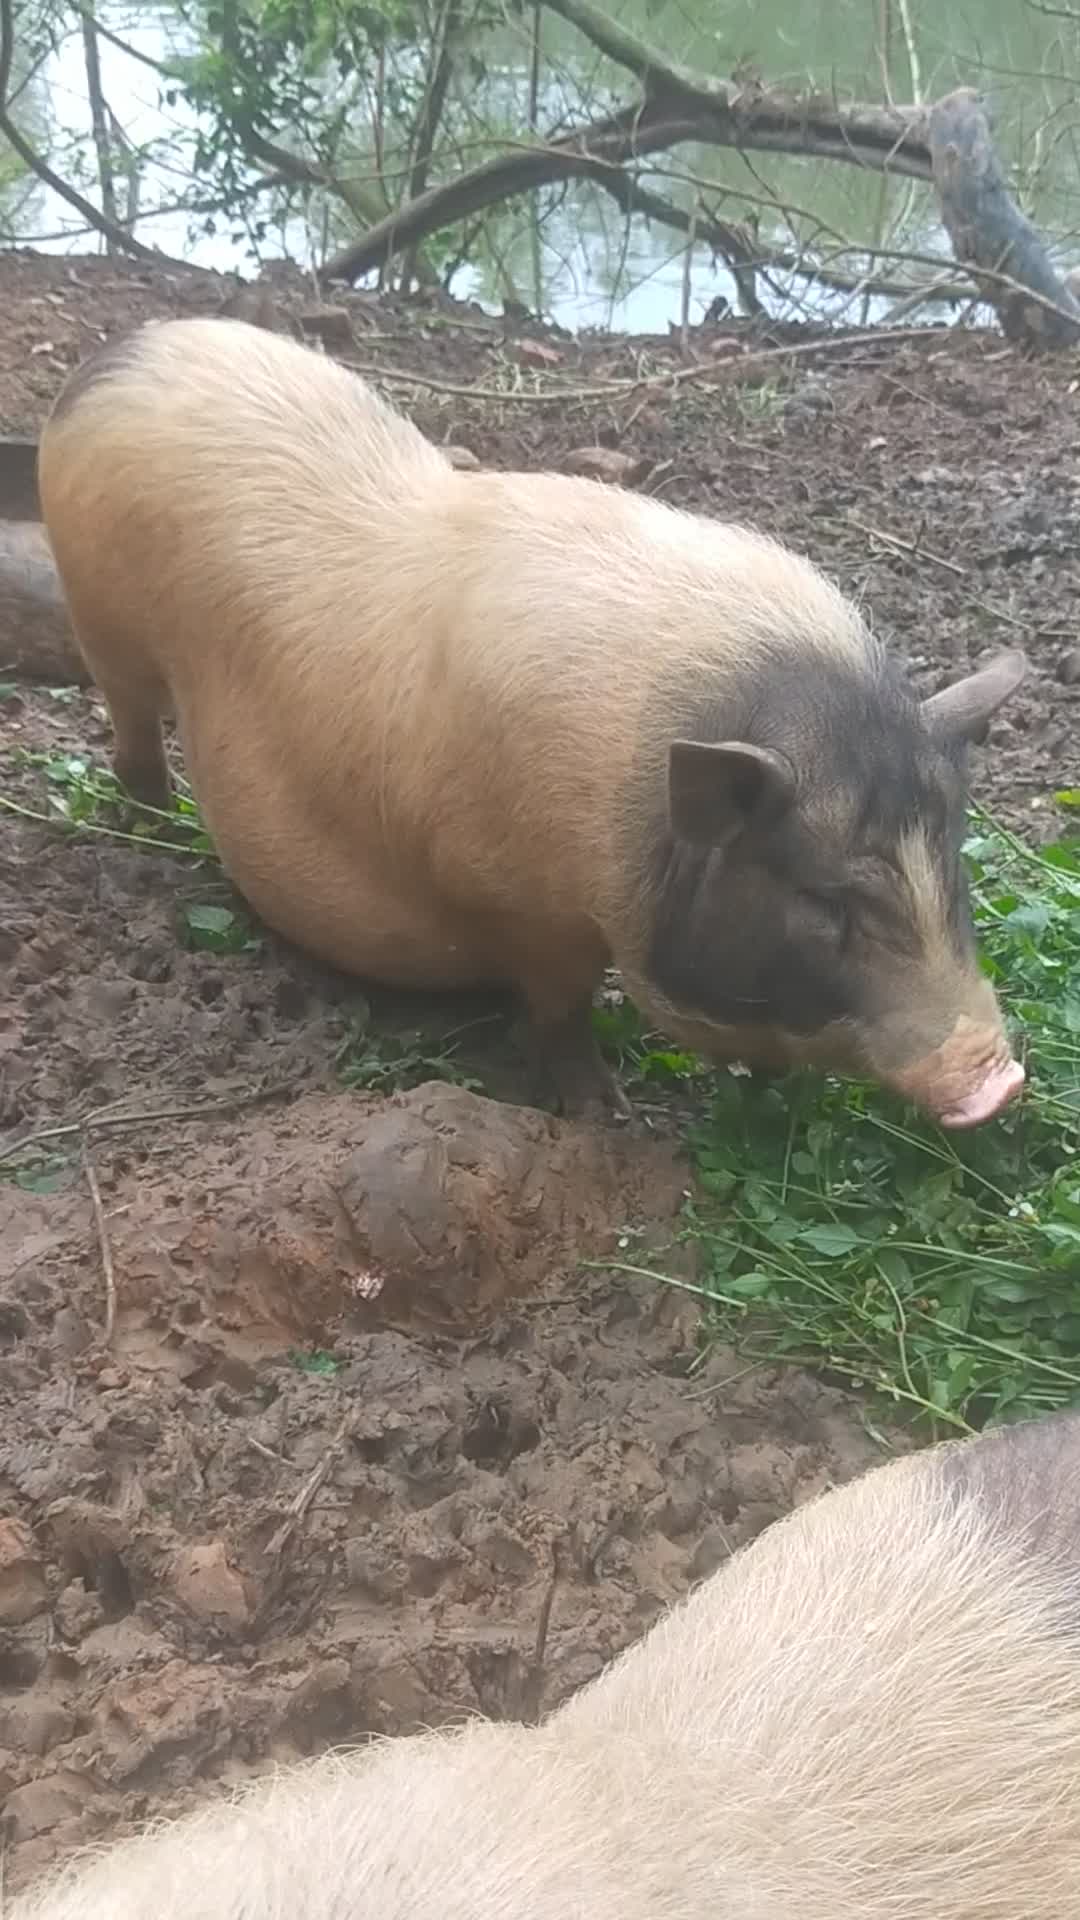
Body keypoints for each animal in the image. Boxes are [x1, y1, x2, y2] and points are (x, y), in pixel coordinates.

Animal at [35, 316, 1022, 1121]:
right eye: (827, 897)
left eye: (951, 859)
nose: (1000, 1076)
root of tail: (121, 350)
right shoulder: (516, 900)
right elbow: (559, 1007)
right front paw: (602, 1112)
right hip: (101, 621)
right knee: (130, 726)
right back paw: (151, 824)